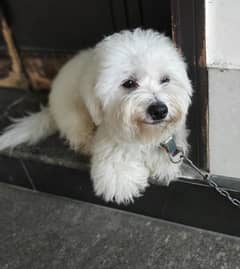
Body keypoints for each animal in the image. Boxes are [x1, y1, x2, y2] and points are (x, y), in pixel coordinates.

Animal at [0, 28, 192, 203]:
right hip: (74, 113)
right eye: (129, 83)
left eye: (165, 79)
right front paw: (121, 176)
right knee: (78, 134)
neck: (144, 136)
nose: (159, 110)